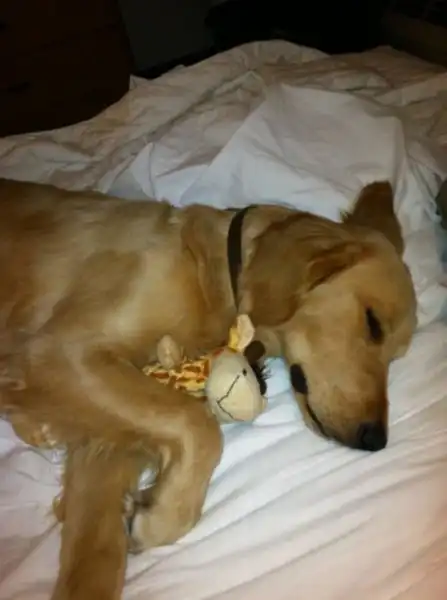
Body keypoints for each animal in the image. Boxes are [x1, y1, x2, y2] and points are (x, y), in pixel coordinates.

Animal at [0, 178, 416, 600]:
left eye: (395, 358)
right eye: (373, 323)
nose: (375, 440)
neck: (212, 278)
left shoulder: (105, 440)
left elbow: (96, 557)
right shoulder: (63, 352)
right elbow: (199, 424)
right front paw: (163, 515)